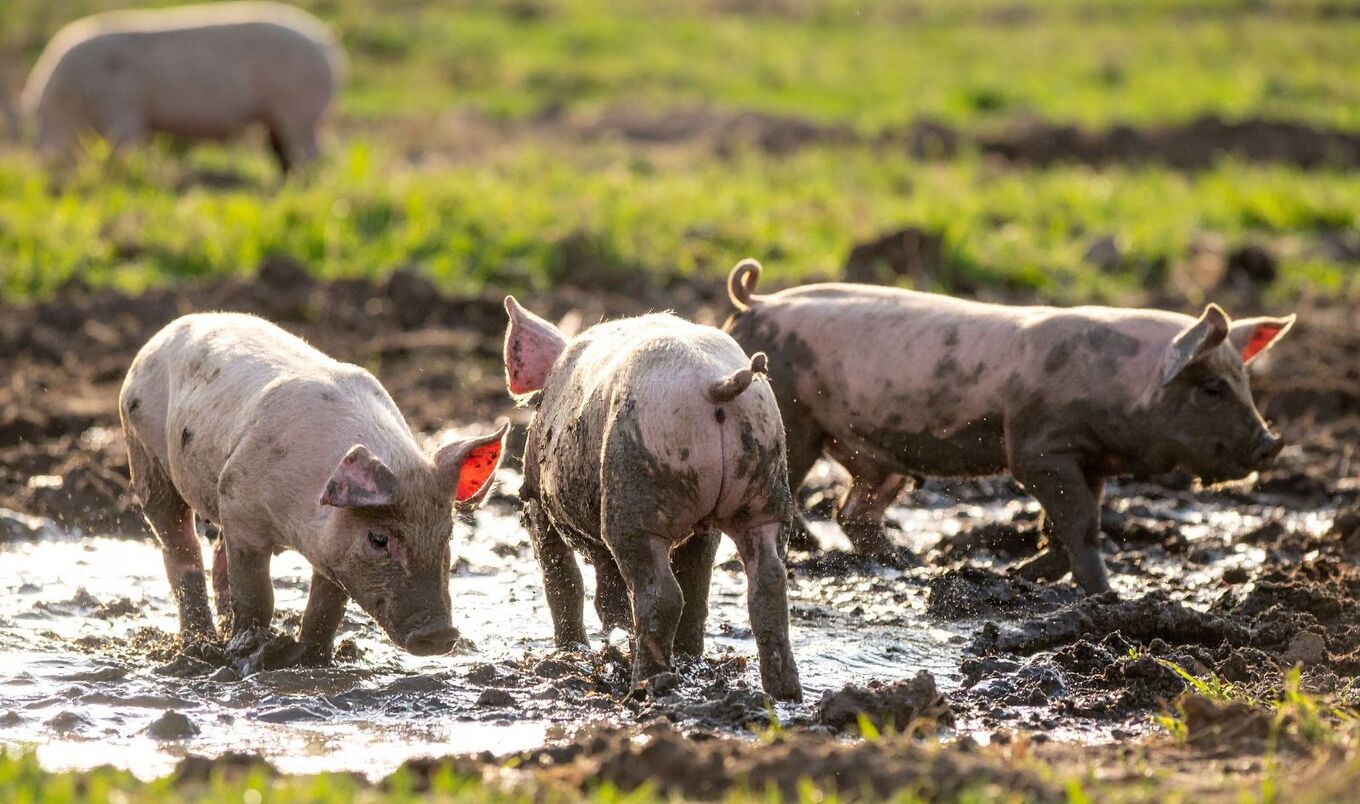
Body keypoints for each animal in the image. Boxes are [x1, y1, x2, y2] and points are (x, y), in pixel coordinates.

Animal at [21, 2, 341, 173]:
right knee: (281, 153)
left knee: (306, 156)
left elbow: (125, 150)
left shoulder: (123, 111)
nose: (47, 170)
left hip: (298, 109)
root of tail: (325, 42)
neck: (70, 97)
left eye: (44, 120)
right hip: (281, 116)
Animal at [120, 313, 507, 663]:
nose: (440, 634)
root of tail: (161, 336)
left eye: (448, 535)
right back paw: (201, 646)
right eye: (378, 539)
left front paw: (311, 658)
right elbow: (257, 593)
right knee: (178, 546)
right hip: (143, 451)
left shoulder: (330, 546)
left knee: (215, 555)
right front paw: (251, 653)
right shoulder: (239, 508)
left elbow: (326, 604)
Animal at [503, 298, 802, 700]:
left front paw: (575, 648)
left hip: (636, 493)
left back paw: (646, 684)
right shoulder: (704, 528)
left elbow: (563, 577)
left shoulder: (538, 501)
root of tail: (716, 386)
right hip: (766, 485)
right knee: (763, 582)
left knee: (661, 592)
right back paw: (783, 692)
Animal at [723, 259, 1294, 593]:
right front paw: (1107, 596)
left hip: (871, 456)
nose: (1271, 443)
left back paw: (913, 565)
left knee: (855, 512)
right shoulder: (1039, 447)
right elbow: (1078, 521)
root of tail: (758, 302)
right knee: (793, 492)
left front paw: (1023, 576)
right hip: (794, 417)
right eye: (1211, 388)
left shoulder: (1089, 459)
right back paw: (817, 553)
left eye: (1243, 380)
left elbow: (1073, 523)